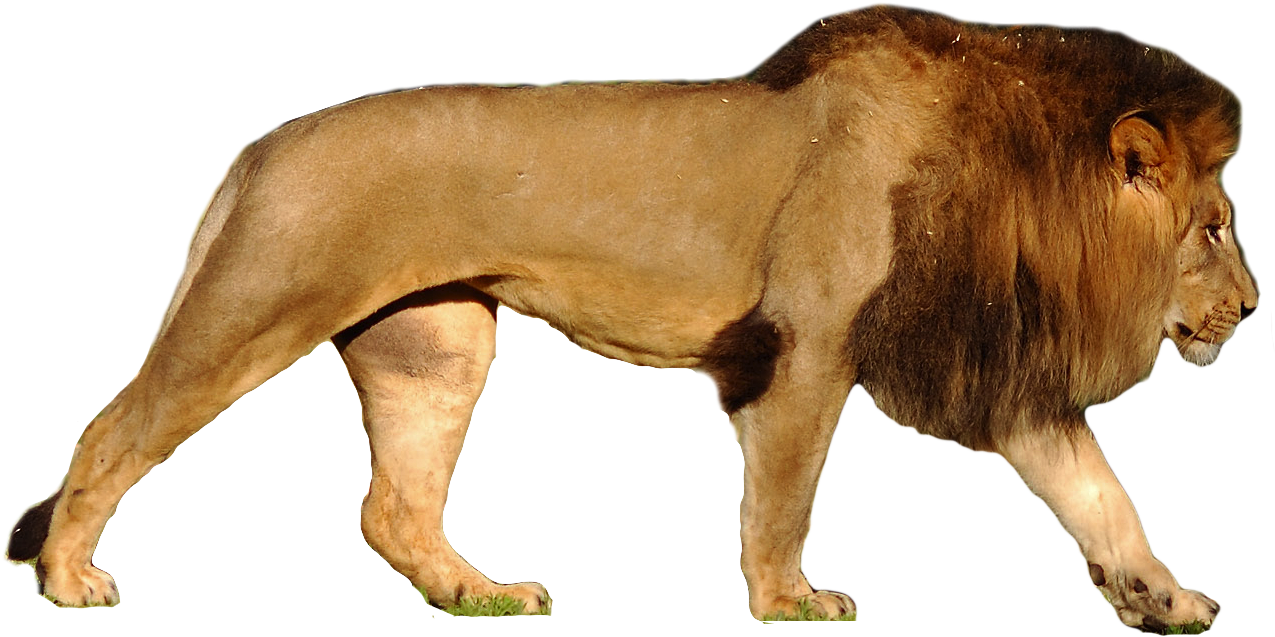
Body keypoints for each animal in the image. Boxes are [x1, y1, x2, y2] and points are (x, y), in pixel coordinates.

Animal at [3, 3, 1256, 629]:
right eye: (1213, 229)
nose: (1248, 313)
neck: (1025, 185)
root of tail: (261, 143)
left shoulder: (993, 369)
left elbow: (1100, 495)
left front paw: (1163, 598)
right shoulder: (807, 346)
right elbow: (785, 497)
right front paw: (790, 603)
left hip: (438, 347)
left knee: (393, 507)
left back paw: (481, 596)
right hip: (258, 305)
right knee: (110, 438)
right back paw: (69, 580)